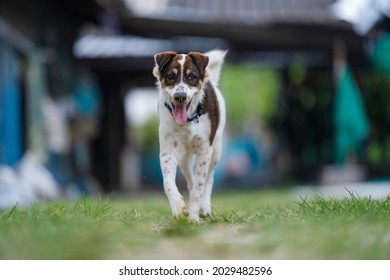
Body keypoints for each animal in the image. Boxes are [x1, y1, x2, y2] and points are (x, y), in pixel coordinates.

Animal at [152, 49, 225, 221]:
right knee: (190, 176)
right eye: (170, 76)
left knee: (208, 179)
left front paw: (193, 217)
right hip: (184, 158)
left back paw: (204, 207)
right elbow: (168, 182)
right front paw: (178, 206)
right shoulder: (168, 151)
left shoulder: (205, 150)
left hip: (216, 150)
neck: (188, 121)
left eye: (191, 77)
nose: (180, 96)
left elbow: (199, 188)